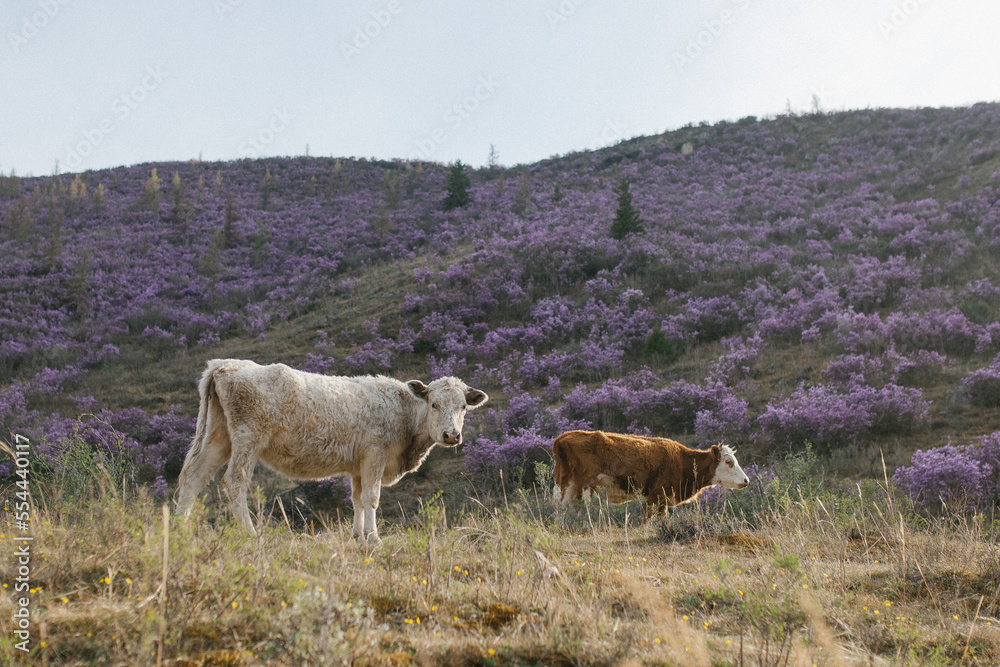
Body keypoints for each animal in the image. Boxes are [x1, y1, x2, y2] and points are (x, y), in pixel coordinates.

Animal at [175, 359, 488, 544]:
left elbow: (358, 499)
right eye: (434, 404)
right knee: (234, 482)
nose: (452, 435)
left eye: (463, 406)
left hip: (219, 437)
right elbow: (372, 497)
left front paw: (358, 536)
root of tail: (226, 364)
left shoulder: (358, 464)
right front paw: (374, 538)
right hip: (247, 436)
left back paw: (181, 529)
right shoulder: (374, 454)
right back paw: (249, 533)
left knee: (193, 478)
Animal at [552, 430, 749, 520]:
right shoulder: (657, 495)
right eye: (728, 461)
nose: (746, 480)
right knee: (579, 508)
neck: (681, 460)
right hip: (584, 487)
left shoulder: (662, 499)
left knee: (561, 506)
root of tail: (563, 437)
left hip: (567, 485)